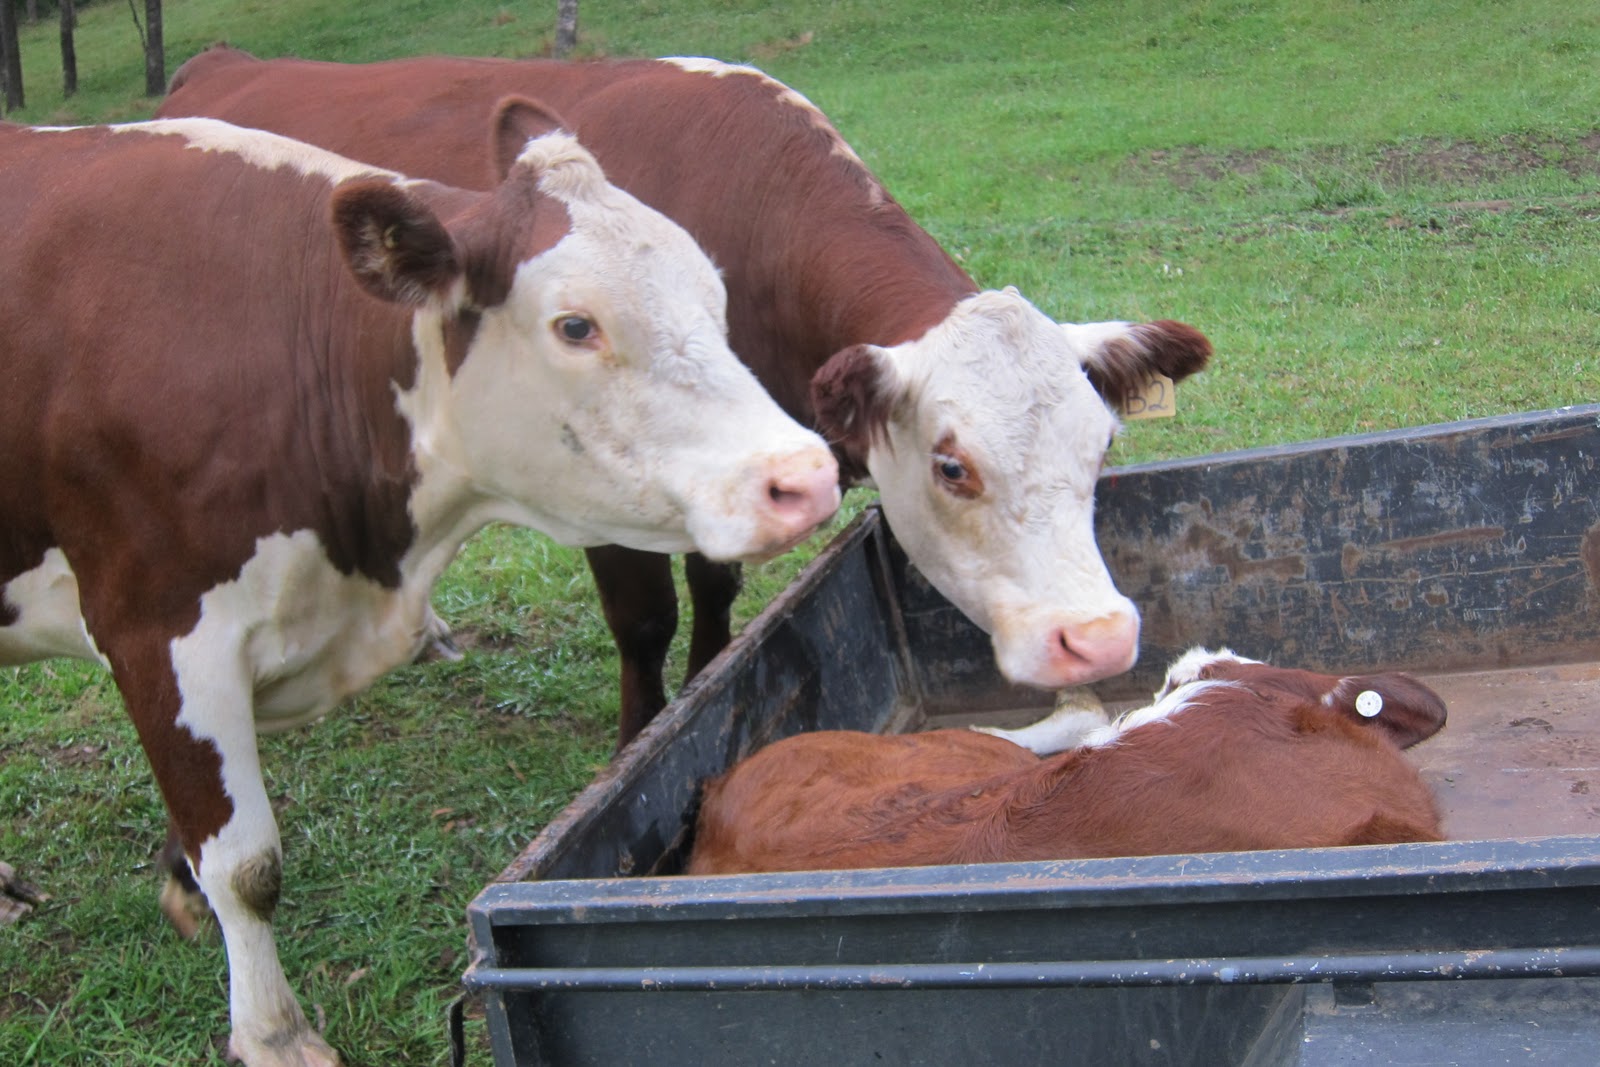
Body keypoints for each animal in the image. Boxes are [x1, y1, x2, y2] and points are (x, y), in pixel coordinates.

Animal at [0, 112, 838, 1067]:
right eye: (575, 324)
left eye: (715, 295)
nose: (804, 476)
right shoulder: (160, 626)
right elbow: (246, 864)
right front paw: (273, 1031)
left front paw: (179, 872)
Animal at [158, 47, 1215, 749]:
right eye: (954, 466)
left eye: (1101, 451)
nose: (1098, 638)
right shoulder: (601, 486)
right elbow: (645, 620)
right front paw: (640, 737)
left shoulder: (746, 469)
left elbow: (713, 592)